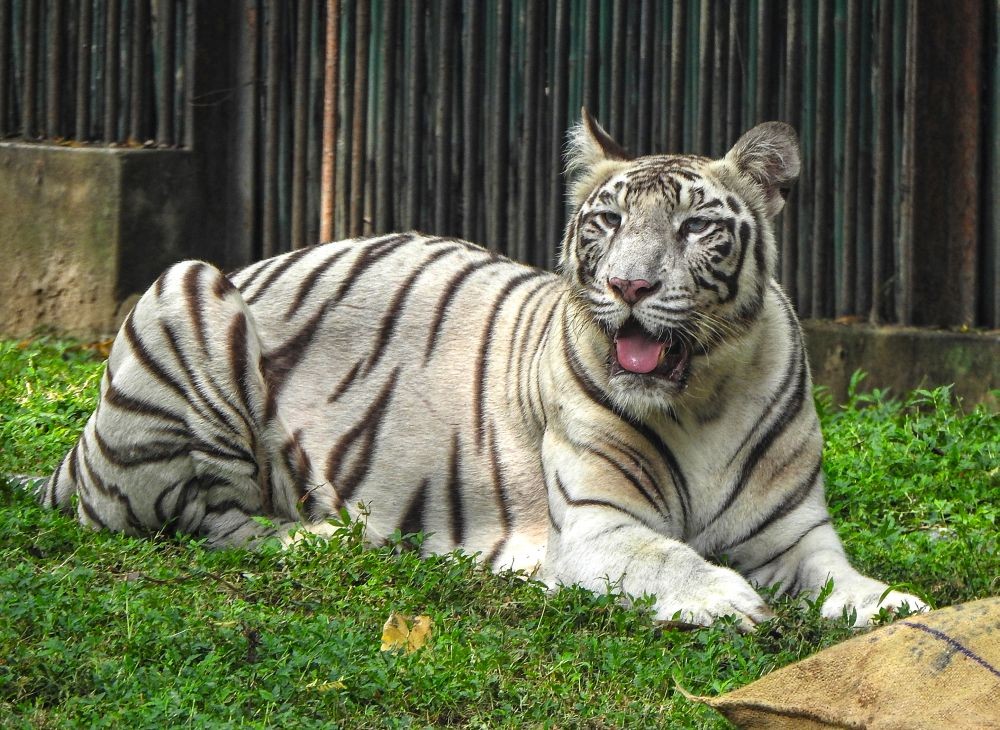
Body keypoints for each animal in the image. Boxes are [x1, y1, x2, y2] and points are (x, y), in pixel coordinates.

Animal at [37, 111, 926, 628]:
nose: (629, 286)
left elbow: (842, 578)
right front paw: (724, 596)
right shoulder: (599, 527)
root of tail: (71, 458)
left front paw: (893, 604)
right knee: (197, 518)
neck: (702, 395)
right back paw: (321, 538)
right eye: (608, 222)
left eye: (696, 227)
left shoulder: (795, 535)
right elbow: (667, 555)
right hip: (185, 287)